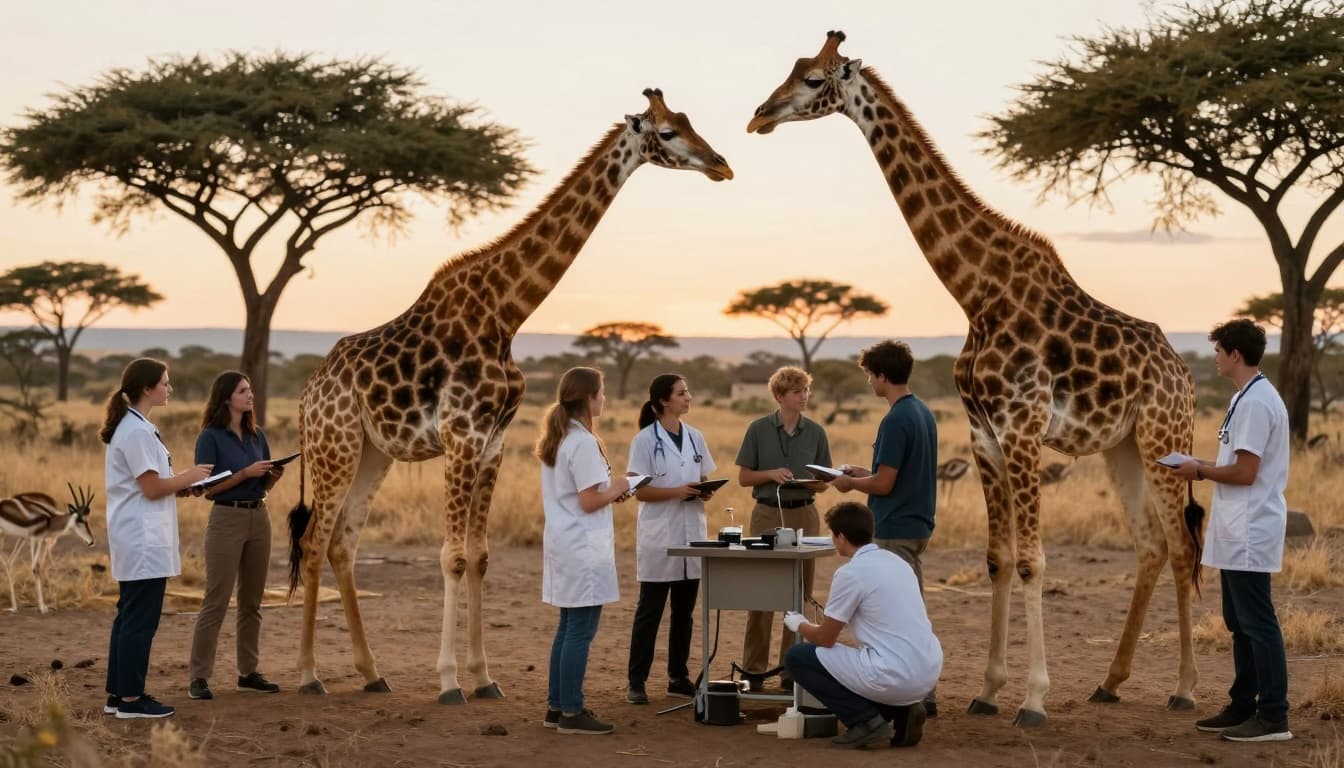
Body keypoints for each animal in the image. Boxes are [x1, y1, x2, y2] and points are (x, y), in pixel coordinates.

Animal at [288, 89, 732, 704]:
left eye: (688, 121)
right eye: (666, 132)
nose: (721, 165)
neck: (505, 312)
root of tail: (308, 393)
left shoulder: (492, 443)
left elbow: (478, 556)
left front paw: (483, 677)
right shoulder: (461, 436)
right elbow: (451, 556)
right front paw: (449, 681)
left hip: (373, 452)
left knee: (341, 544)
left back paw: (372, 672)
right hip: (334, 447)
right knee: (312, 543)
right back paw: (308, 675)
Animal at [748, 32, 1199, 727]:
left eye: (816, 79)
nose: (760, 115)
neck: (976, 291)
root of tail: (1183, 373)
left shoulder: (1022, 426)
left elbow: (1034, 560)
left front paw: (1033, 700)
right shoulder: (983, 432)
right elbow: (997, 560)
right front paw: (988, 691)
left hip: (1162, 441)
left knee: (1179, 547)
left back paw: (1183, 687)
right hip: (1120, 447)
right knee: (1150, 545)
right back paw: (1110, 681)